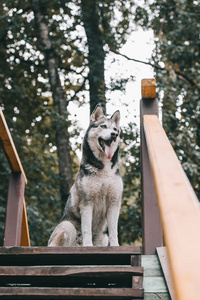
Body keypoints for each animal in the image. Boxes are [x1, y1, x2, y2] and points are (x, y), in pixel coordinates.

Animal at [48, 105, 123, 246]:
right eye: (103, 126)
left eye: (115, 129)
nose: (114, 135)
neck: (104, 170)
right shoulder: (87, 202)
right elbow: (87, 228)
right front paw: (88, 245)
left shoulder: (114, 202)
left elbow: (114, 230)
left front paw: (116, 246)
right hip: (67, 226)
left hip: (103, 238)